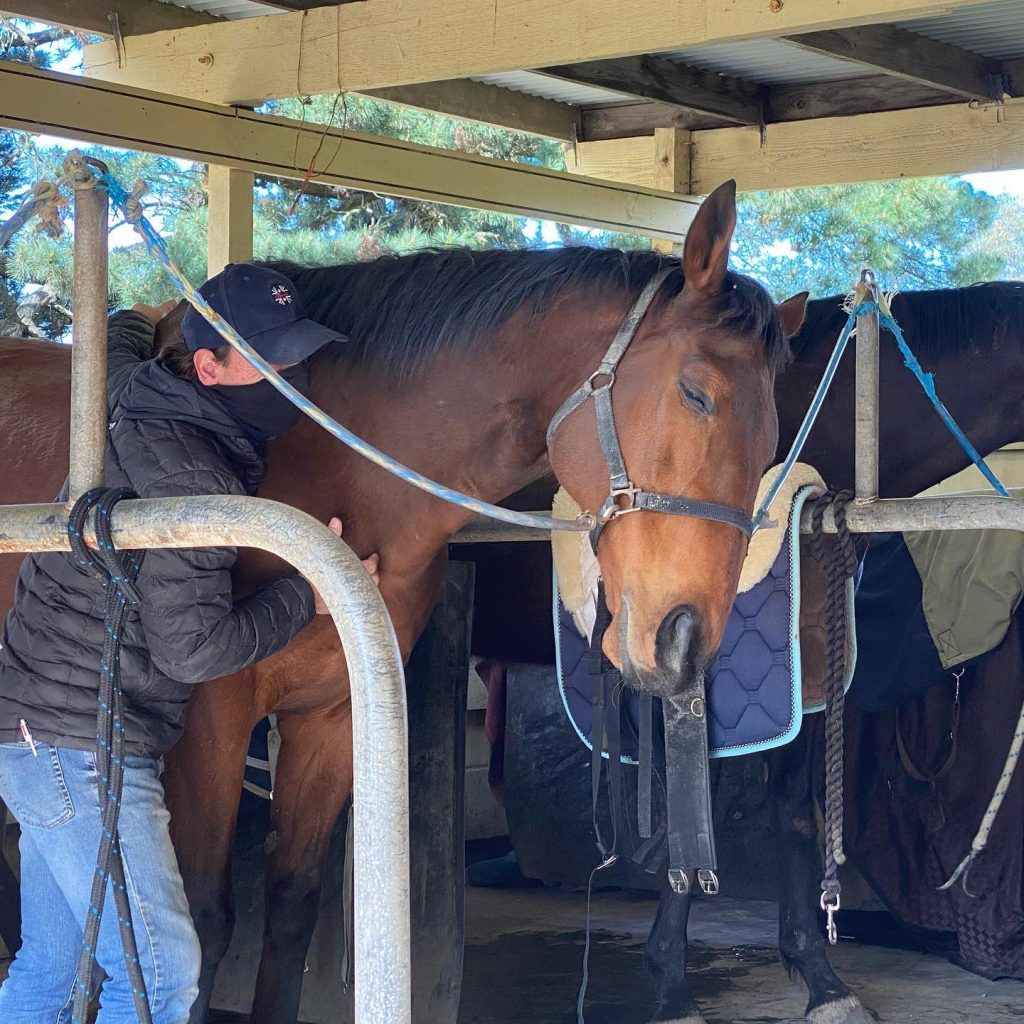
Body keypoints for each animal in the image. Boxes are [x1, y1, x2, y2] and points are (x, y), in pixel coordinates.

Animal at [0, 186, 806, 1024]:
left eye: (775, 437)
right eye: (696, 393)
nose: (683, 645)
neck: (331, 463)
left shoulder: (334, 716)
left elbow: (293, 907)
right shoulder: (209, 719)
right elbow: (206, 917)